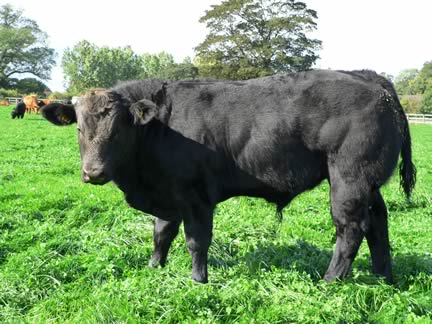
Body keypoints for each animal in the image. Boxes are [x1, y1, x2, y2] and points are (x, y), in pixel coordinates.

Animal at [40, 70, 416, 284]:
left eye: (118, 130)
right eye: (78, 128)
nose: (93, 172)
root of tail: (371, 80)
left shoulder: (196, 196)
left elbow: (196, 240)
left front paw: (198, 280)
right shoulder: (167, 194)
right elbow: (161, 234)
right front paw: (153, 268)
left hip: (348, 179)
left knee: (351, 230)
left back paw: (329, 281)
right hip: (368, 184)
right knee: (378, 223)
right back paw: (384, 277)